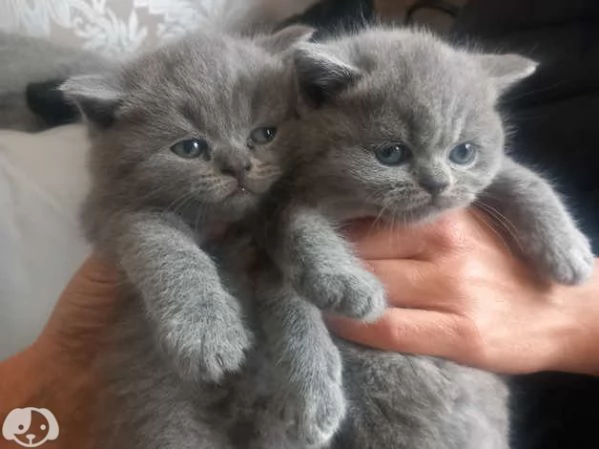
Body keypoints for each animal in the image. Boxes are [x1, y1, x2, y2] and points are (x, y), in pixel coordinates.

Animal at [61, 25, 314, 448]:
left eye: (264, 134)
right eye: (190, 147)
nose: (238, 165)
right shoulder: (111, 214)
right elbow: (167, 245)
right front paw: (206, 331)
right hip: (161, 406)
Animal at [251, 28, 592, 448]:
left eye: (463, 152)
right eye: (391, 153)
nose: (437, 184)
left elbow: (517, 175)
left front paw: (568, 249)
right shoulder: (267, 224)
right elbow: (291, 255)